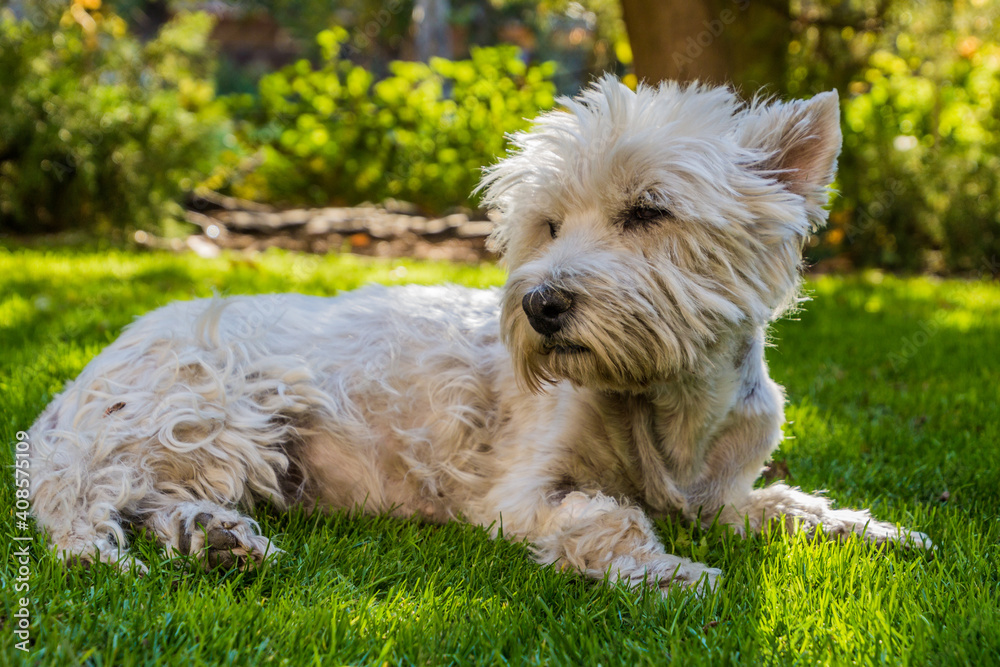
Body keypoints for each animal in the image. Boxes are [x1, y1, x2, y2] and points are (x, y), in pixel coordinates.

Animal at [25, 75, 928, 592]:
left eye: (649, 211)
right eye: (550, 224)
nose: (542, 305)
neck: (660, 401)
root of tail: (84, 376)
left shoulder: (720, 494)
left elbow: (785, 504)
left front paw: (882, 530)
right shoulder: (521, 493)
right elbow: (606, 517)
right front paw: (669, 571)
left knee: (154, 494)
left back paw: (218, 538)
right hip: (207, 409)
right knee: (89, 492)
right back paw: (104, 550)